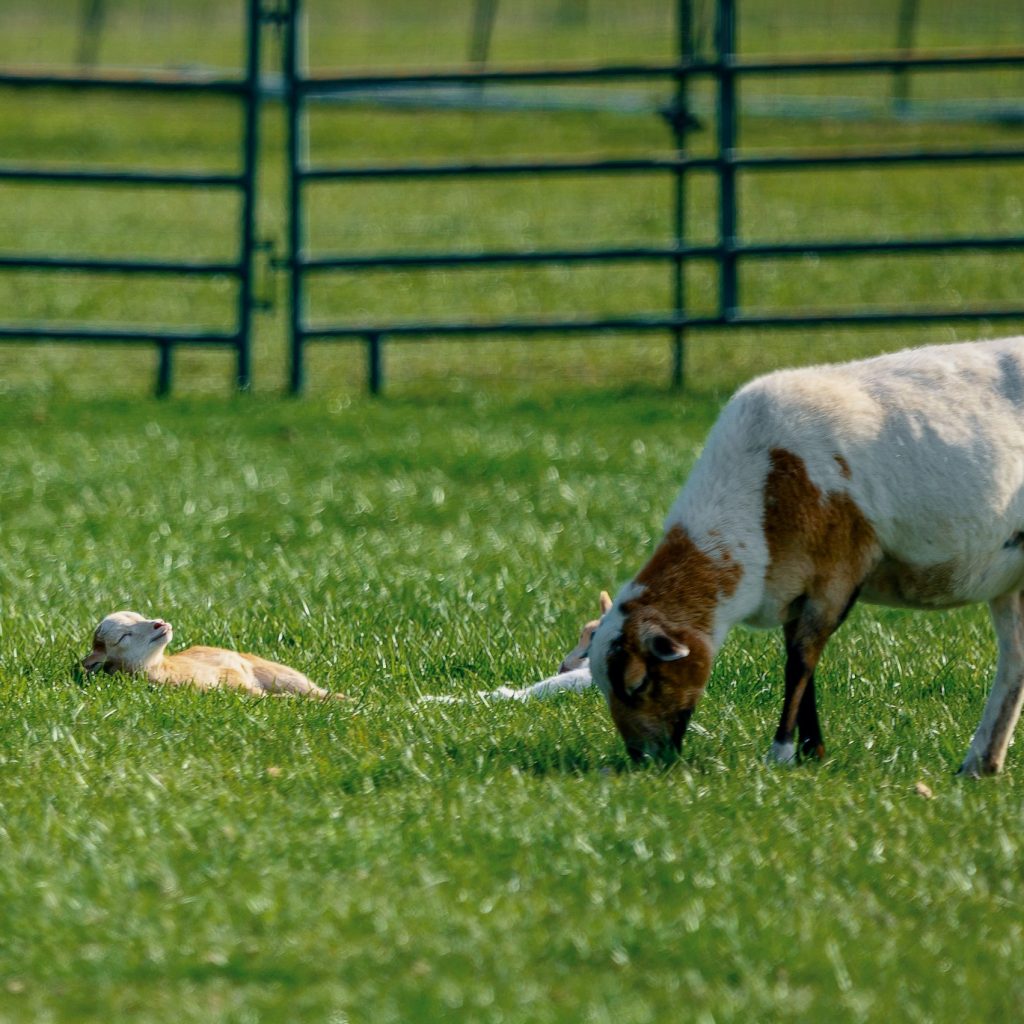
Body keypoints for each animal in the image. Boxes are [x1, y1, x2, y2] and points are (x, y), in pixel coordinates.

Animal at [589, 335, 1024, 774]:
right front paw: (812, 752)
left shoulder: (836, 575)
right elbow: (804, 667)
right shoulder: (792, 587)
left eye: (638, 682)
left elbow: (800, 661)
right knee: (1015, 662)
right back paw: (981, 764)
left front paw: (781, 752)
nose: (644, 760)